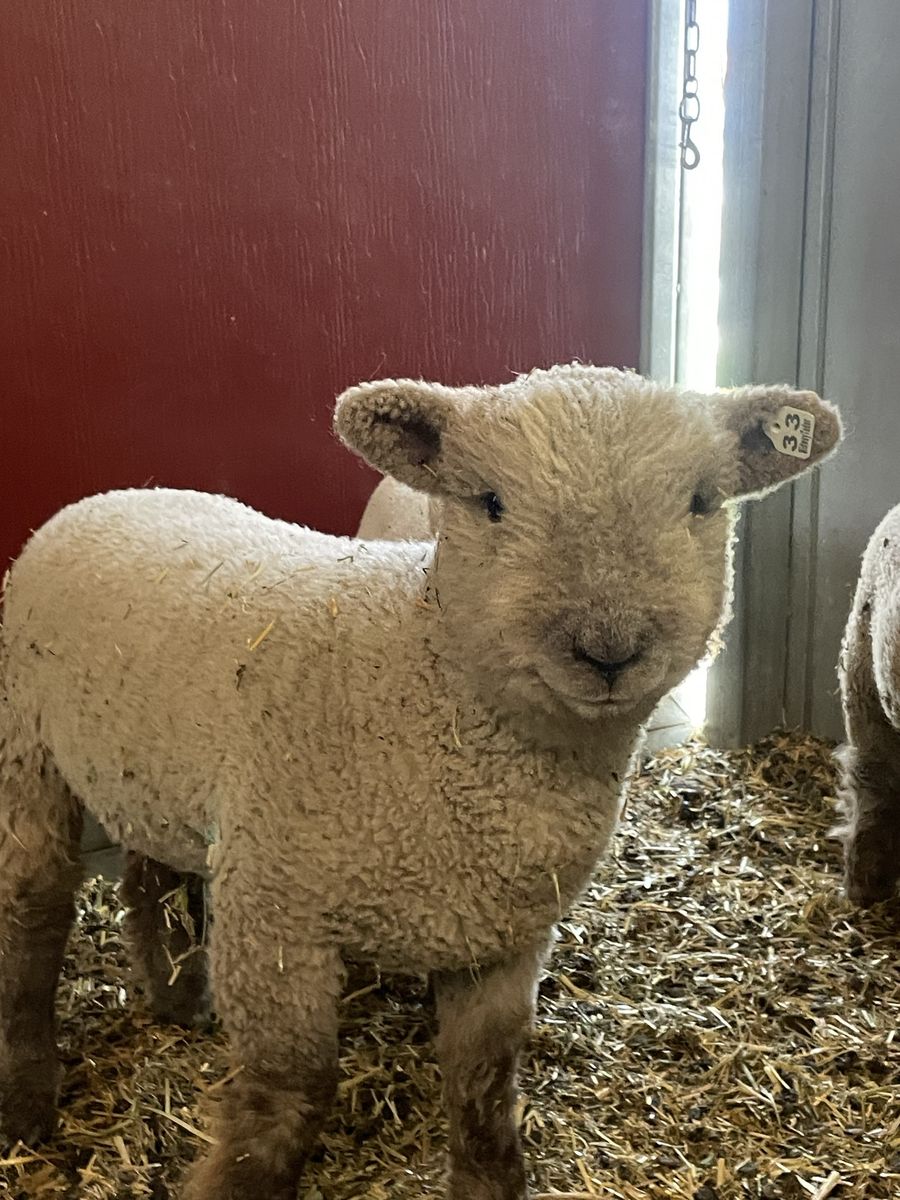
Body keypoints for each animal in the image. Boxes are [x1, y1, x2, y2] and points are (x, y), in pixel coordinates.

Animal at [0, 364, 841, 1200]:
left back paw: (177, 1000)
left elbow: (484, 1082)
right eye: (491, 502)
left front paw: (490, 1182)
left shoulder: (501, 939)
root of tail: (116, 494)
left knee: (151, 875)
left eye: (702, 502)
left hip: (150, 772)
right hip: (25, 748)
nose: (608, 650)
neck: (426, 674)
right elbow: (288, 1091)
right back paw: (27, 1103)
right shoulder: (276, 915)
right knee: (32, 916)